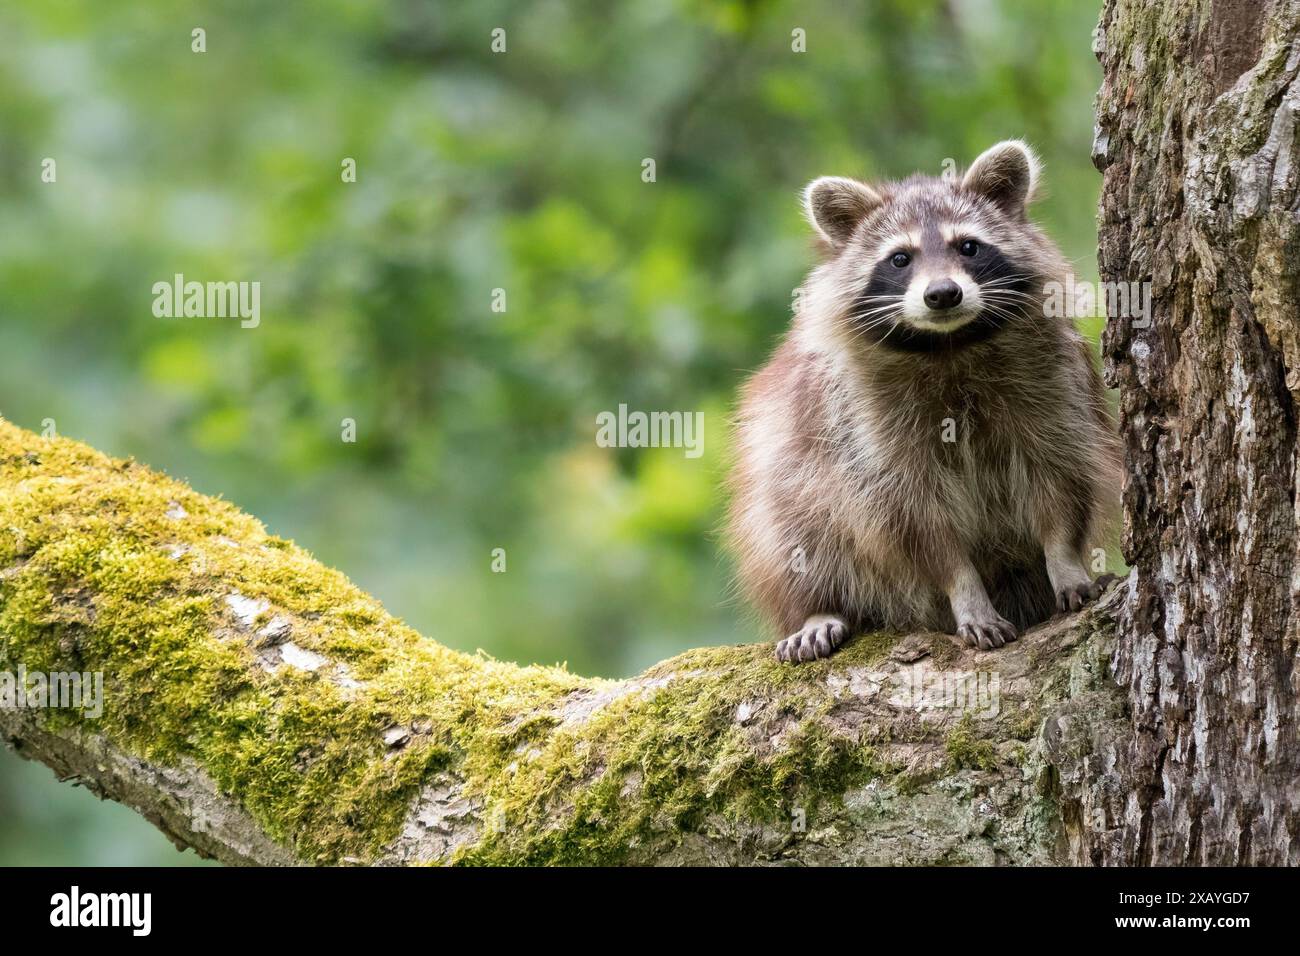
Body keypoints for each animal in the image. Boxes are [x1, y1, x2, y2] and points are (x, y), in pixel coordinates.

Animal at [728, 140, 1123, 665]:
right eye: (900, 258)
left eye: (968, 246)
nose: (942, 294)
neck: (949, 344)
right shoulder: (865, 430)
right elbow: (918, 526)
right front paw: (966, 593)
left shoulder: (1056, 388)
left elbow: (1060, 478)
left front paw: (1065, 560)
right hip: (793, 479)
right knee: (792, 528)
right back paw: (816, 608)